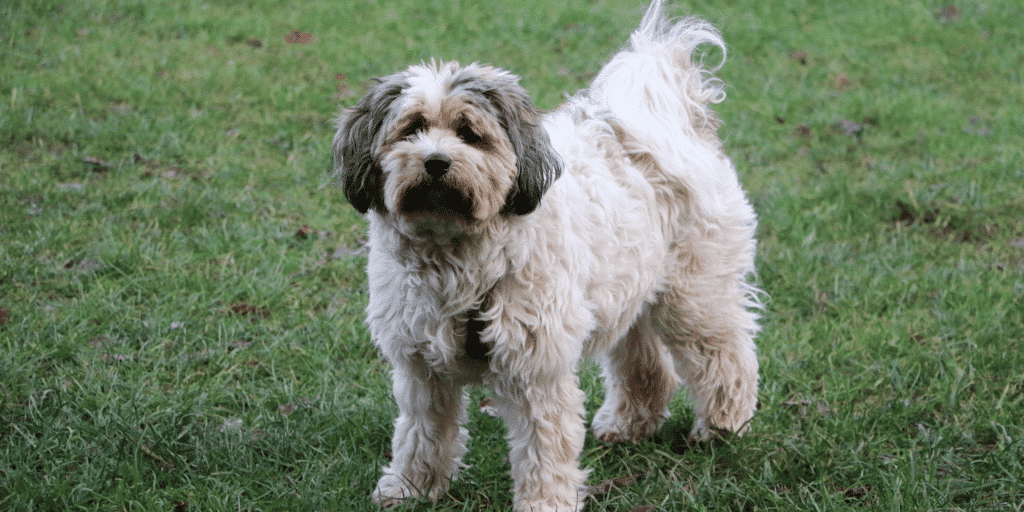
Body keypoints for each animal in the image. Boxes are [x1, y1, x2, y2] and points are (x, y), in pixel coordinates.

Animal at [333, 2, 761, 509]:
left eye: (469, 134)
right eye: (412, 128)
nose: (435, 161)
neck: (457, 257)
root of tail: (677, 126)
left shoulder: (536, 366)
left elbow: (543, 446)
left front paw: (544, 502)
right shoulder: (422, 365)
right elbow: (422, 433)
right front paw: (411, 488)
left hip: (692, 296)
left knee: (725, 355)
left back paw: (722, 427)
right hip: (628, 292)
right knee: (646, 365)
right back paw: (628, 425)